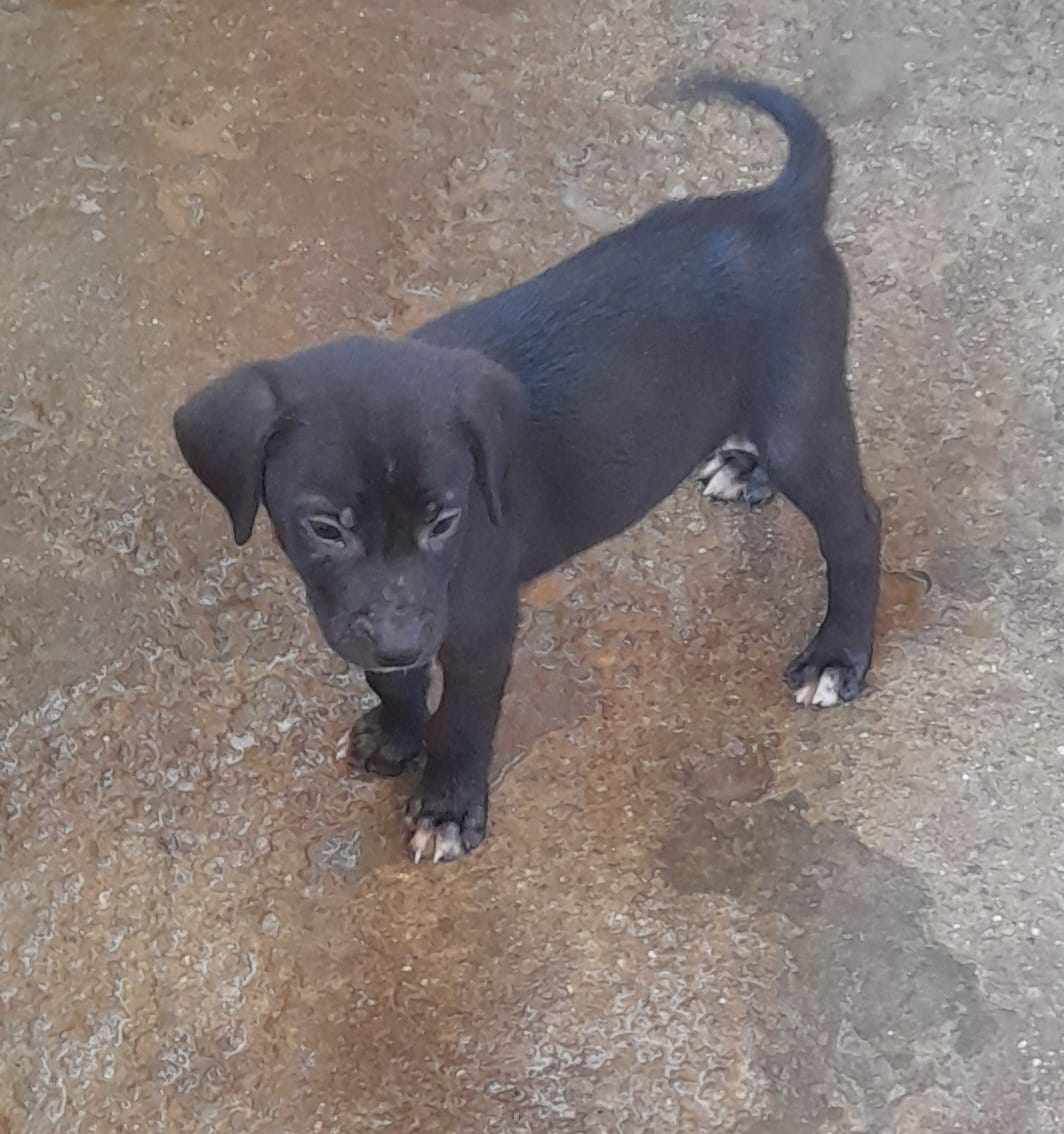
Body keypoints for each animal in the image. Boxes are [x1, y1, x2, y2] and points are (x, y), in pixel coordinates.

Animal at [173, 76, 881, 864]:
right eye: (325, 528)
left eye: (447, 521)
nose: (401, 640)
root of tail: (778, 204)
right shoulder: (407, 609)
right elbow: (393, 680)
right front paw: (397, 732)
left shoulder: (479, 617)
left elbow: (464, 717)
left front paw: (448, 808)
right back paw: (744, 467)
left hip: (800, 409)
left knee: (855, 526)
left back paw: (838, 656)